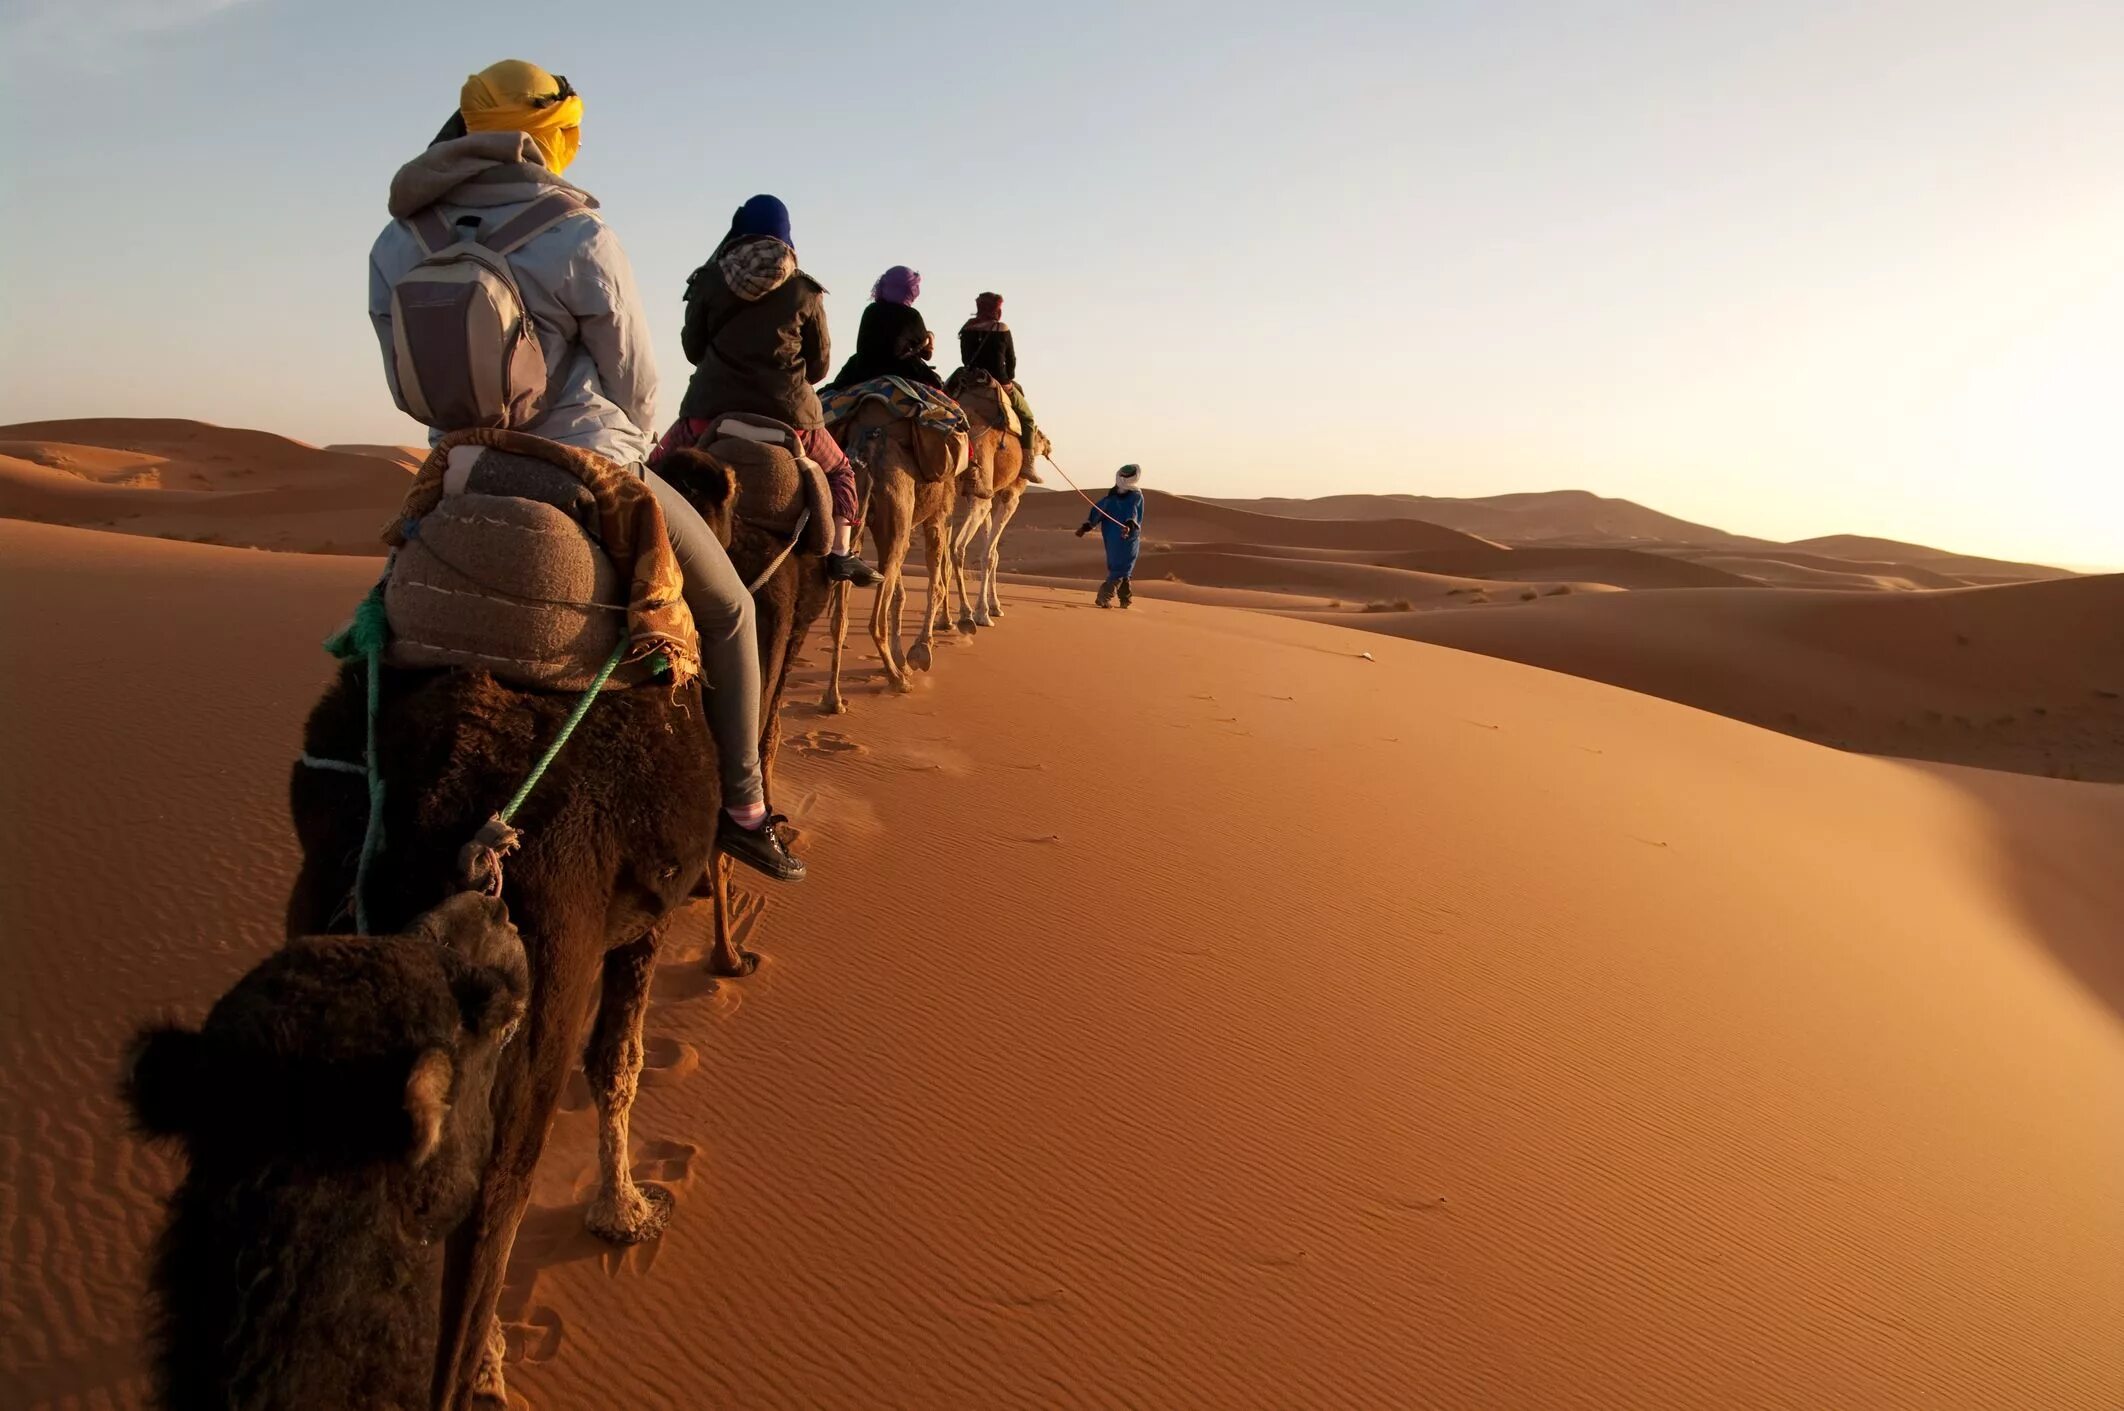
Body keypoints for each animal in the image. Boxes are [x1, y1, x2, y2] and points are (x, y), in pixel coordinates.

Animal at [278, 446, 785, 1402]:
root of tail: (441, 785)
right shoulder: (638, 919)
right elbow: (618, 1062)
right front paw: (625, 1212)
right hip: (539, 968)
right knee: (494, 1194)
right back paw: (476, 1372)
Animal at [819, 399, 972, 709]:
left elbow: (900, 596)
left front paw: (903, 657)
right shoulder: (937, 517)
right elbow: (936, 583)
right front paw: (920, 652)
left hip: (856, 518)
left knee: (840, 617)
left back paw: (834, 698)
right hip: (898, 516)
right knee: (875, 619)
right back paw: (897, 680)